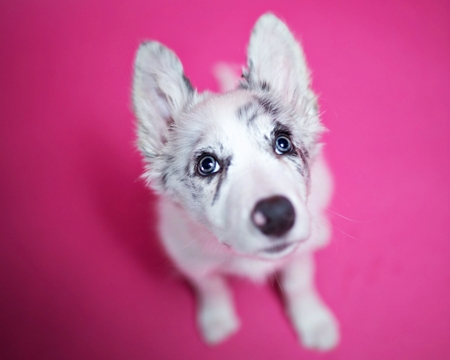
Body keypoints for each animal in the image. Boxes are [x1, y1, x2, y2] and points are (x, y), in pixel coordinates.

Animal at [132, 12, 340, 350]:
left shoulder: (299, 252)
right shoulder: (189, 257)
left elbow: (298, 282)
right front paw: (216, 319)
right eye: (207, 165)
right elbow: (211, 286)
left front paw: (312, 320)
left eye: (283, 143)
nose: (277, 215)